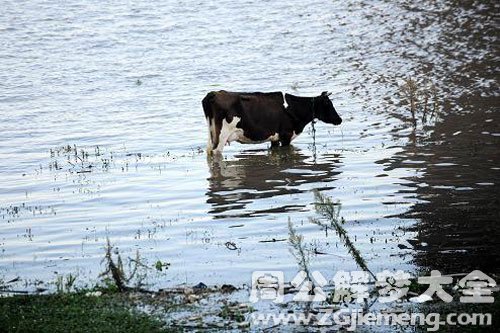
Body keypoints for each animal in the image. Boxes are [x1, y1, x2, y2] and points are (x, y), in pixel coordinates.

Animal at [201, 90, 342, 154]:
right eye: (329, 104)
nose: (339, 119)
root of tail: (213, 93)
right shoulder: (286, 136)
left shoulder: (275, 138)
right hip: (221, 135)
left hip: (211, 133)